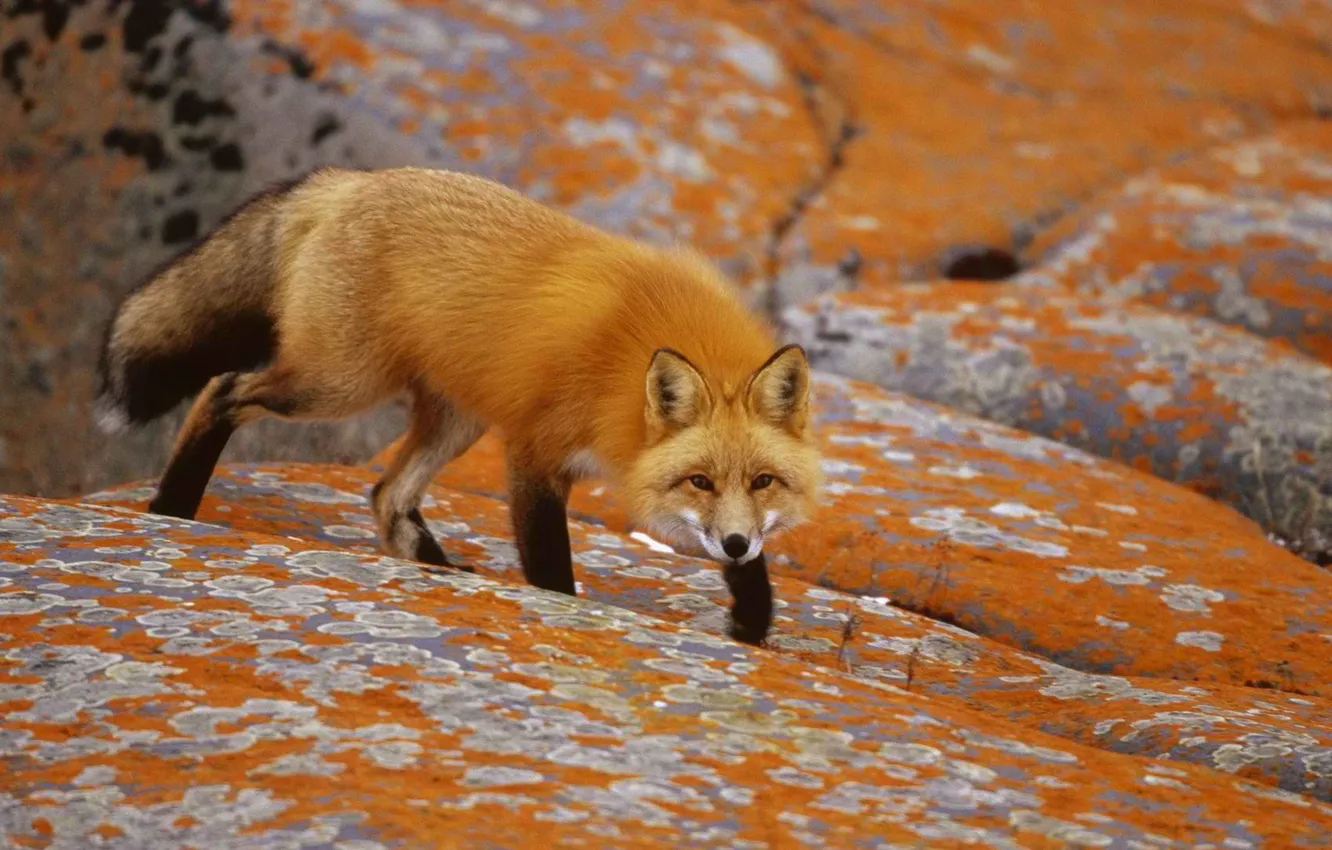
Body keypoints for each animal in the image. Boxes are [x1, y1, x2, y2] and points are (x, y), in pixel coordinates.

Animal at [95, 166, 822, 644]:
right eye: (699, 481)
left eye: (763, 481)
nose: (732, 543)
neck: (629, 362)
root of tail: (351, 179)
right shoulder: (535, 449)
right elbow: (550, 565)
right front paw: (563, 612)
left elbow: (754, 570)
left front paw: (752, 621)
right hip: (337, 384)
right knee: (222, 390)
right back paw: (172, 506)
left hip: (455, 417)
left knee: (387, 495)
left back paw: (442, 573)